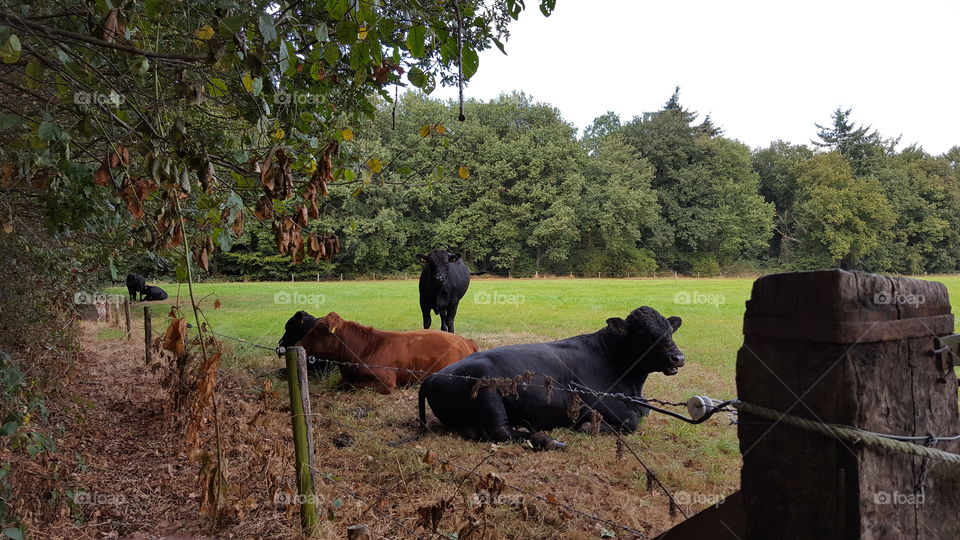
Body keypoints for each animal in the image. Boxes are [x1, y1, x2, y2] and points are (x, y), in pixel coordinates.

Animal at [418, 306, 686, 443]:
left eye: (669, 330)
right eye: (643, 333)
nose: (678, 357)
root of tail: (433, 377)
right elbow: (630, 422)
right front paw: (587, 427)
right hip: (487, 388)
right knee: (499, 431)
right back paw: (544, 439)